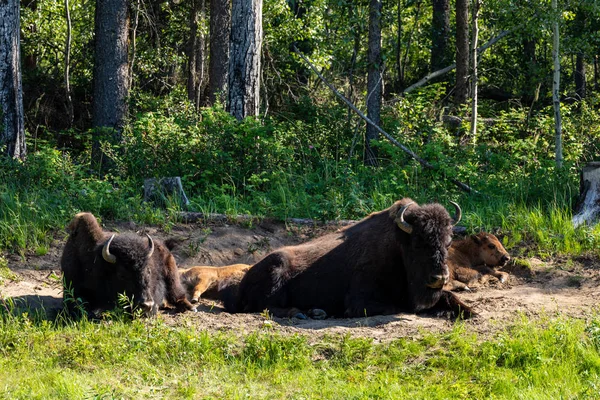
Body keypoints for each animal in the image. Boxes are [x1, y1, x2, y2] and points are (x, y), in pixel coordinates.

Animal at [60, 212, 195, 316]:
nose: (146, 304)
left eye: (148, 271)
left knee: (177, 292)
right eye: (122, 274)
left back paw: (190, 307)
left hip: (172, 275)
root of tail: (164, 245)